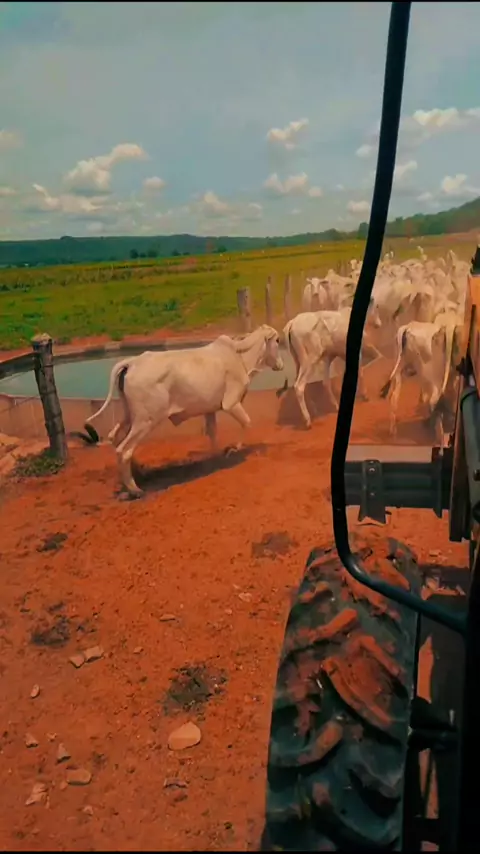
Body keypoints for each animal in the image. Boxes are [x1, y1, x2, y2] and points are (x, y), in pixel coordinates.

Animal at [79, 326, 283, 498]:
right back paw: (135, 489)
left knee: (115, 437)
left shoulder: (210, 409)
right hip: (146, 420)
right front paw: (233, 449)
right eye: (278, 340)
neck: (239, 356)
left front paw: (217, 457)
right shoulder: (231, 404)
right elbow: (246, 422)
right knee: (124, 449)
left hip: (130, 416)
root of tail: (133, 362)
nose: (281, 365)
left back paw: (139, 473)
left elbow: (212, 433)